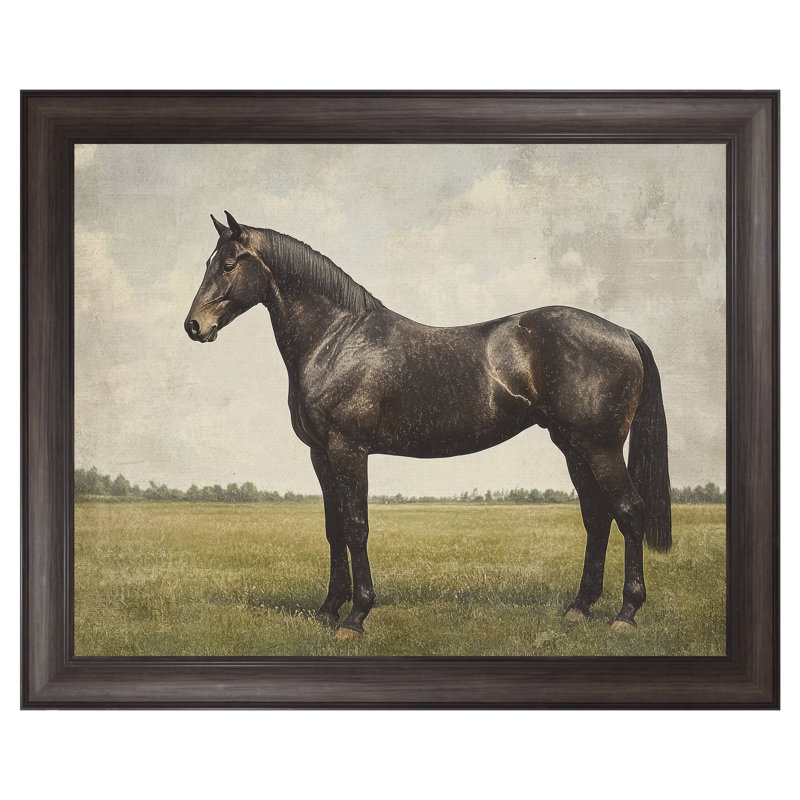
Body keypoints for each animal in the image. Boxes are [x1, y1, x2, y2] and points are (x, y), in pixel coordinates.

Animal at [185, 211, 671, 640]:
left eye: (228, 264)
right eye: (208, 262)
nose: (194, 326)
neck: (337, 339)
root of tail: (623, 333)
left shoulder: (348, 449)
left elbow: (356, 526)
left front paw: (356, 617)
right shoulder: (320, 453)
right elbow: (333, 528)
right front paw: (327, 610)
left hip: (600, 447)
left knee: (629, 511)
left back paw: (626, 615)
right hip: (572, 446)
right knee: (596, 516)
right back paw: (578, 609)